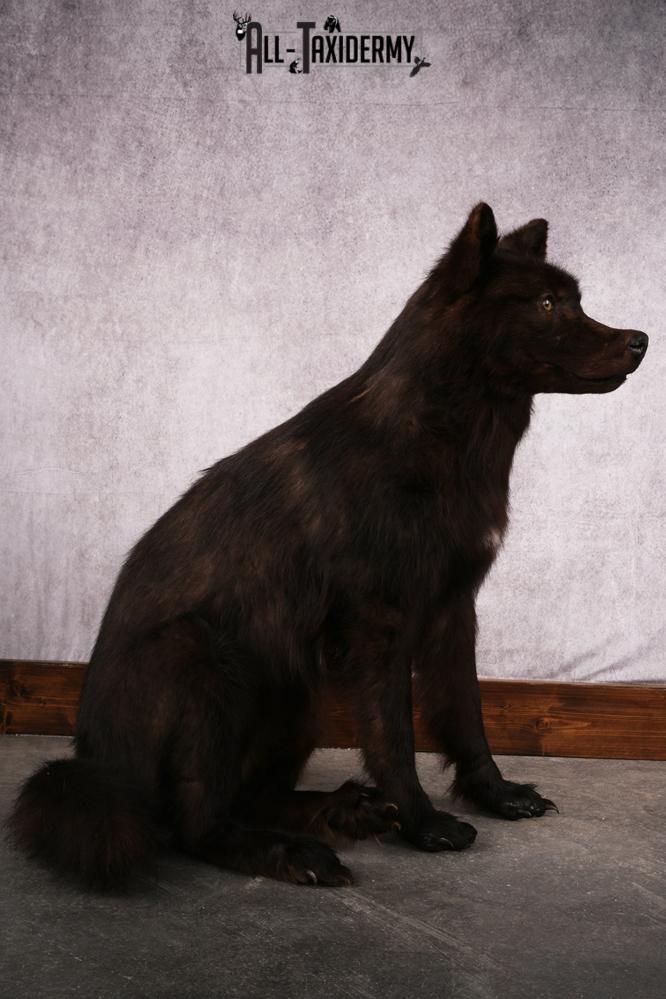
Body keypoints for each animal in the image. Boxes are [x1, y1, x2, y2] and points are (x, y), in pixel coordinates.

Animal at [8, 203, 648, 888]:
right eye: (549, 304)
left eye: (575, 299)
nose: (640, 340)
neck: (441, 433)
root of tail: (91, 764)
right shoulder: (378, 627)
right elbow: (394, 736)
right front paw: (423, 822)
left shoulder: (454, 608)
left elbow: (467, 715)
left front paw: (494, 794)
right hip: (202, 657)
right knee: (195, 824)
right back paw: (295, 852)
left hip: (295, 686)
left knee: (249, 796)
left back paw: (342, 813)